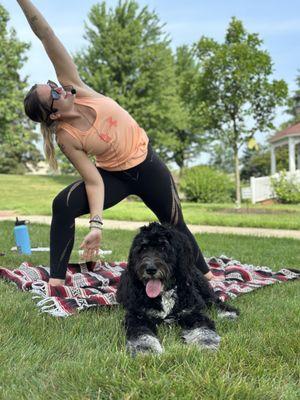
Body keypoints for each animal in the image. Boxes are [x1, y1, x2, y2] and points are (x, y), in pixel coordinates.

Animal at [117, 222, 239, 356]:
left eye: (163, 247)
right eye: (143, 248)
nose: (150, 269)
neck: (165, 292)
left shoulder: (191, 312)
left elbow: (203, 329)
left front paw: (207, 344)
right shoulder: (138, 315)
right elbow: (142, 335)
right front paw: (146, 350)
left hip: (202, 287)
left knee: (214, 301)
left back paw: (228, 313)